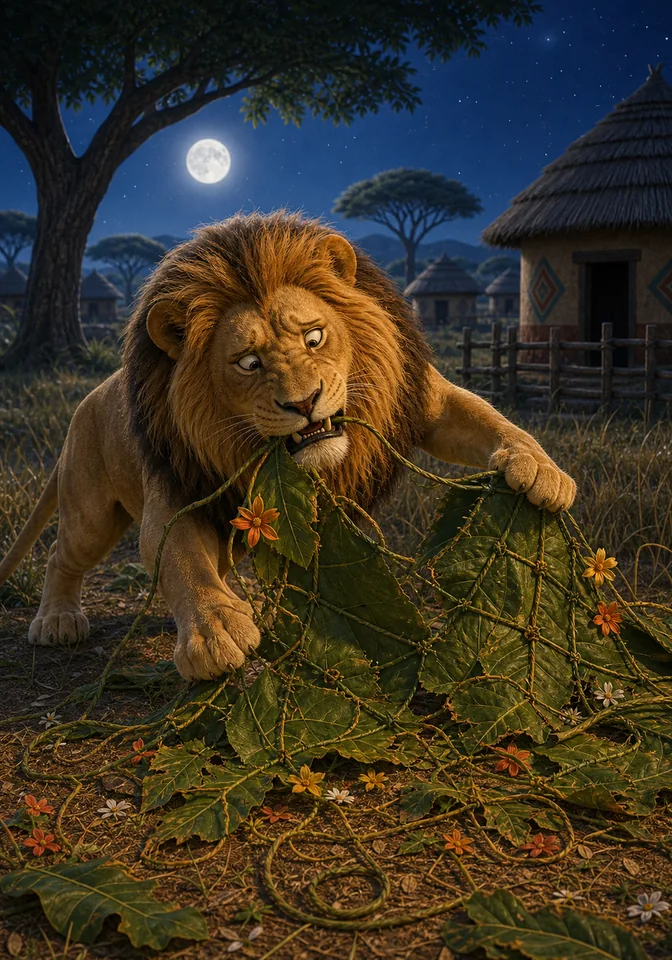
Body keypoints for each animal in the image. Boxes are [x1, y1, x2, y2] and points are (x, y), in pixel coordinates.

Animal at [0, 211, 576, 682]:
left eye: (314, 337)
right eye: (248, 362)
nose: (305, 402)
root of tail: (89, 398)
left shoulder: (423, 399)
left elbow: (487, 418)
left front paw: (539, 469)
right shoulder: (179, 485)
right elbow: (182, 562)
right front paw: (213, 632)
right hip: (91, 513)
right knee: (62, 555)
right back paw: (57, 619)